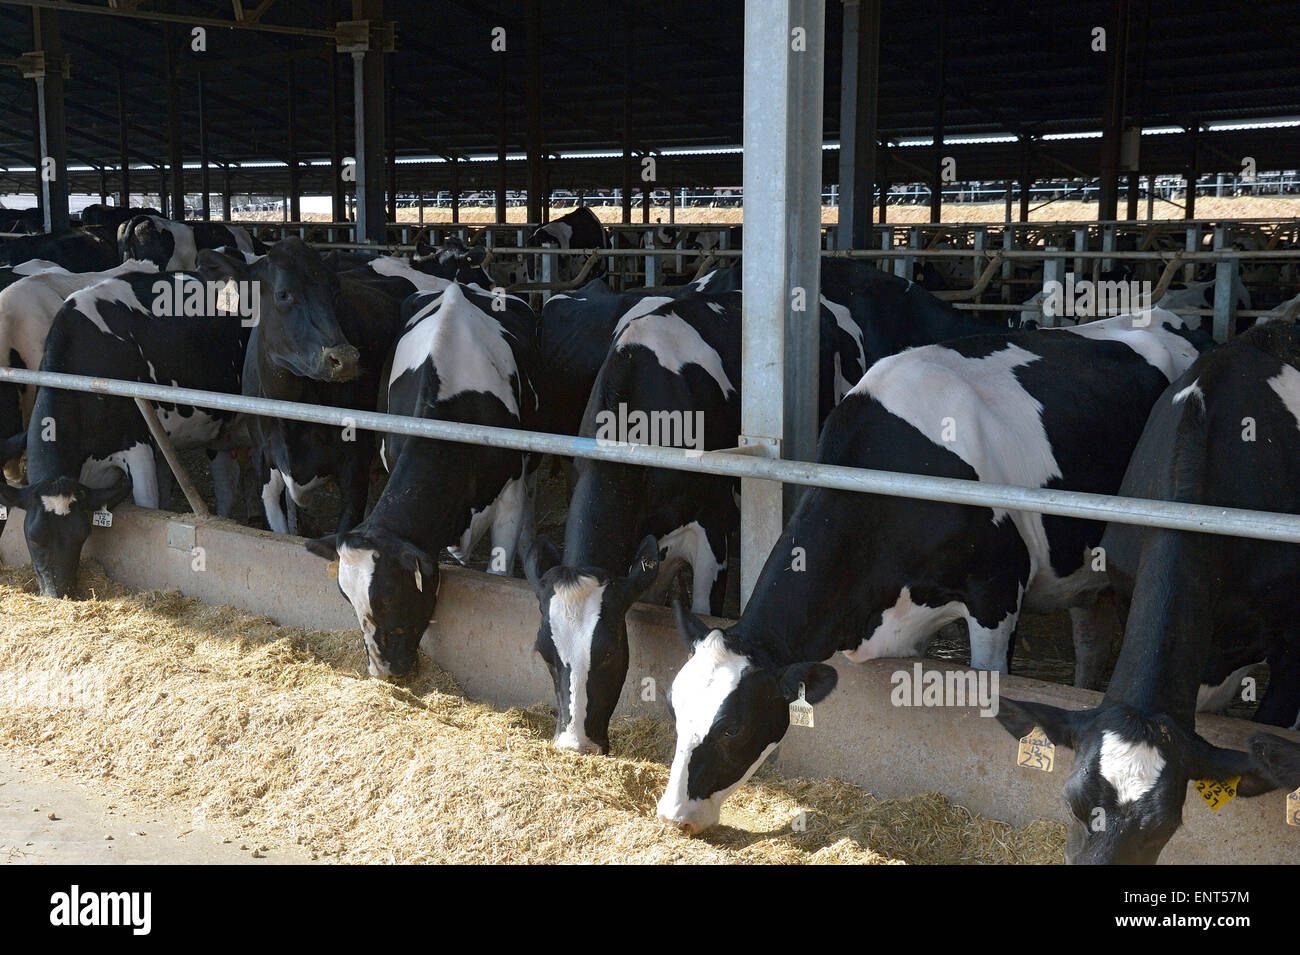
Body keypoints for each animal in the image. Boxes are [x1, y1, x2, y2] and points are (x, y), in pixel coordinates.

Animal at [0, 268, 252, 597]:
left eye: (82, 535)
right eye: (33, 537)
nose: (61, 592)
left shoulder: (138, 446)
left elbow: (148, 505)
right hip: (217, 432)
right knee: (225, 484)